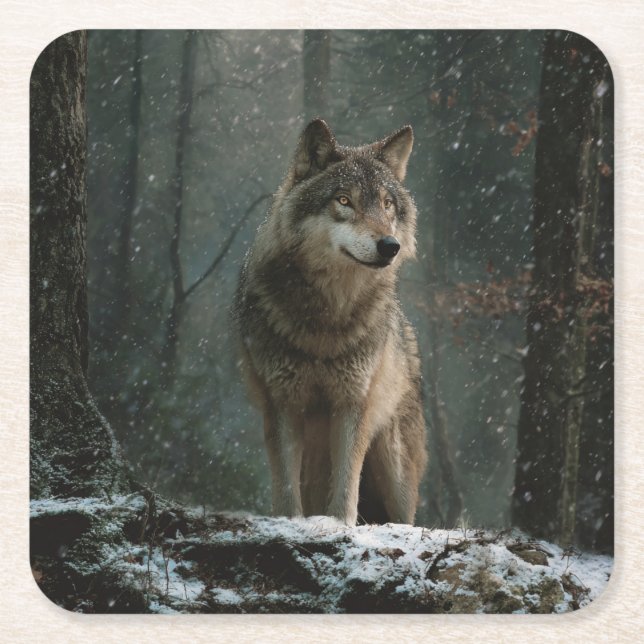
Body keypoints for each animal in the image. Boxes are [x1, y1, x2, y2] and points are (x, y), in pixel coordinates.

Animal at [234, 119, 427, 526]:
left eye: (387, 204)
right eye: (343, 200)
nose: (390, 246)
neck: (327, 319)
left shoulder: (353, 404)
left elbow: (346, 487)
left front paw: (340, 525)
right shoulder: (283, 403)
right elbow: (286, 488)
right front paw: (292, 524)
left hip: (395, 468)